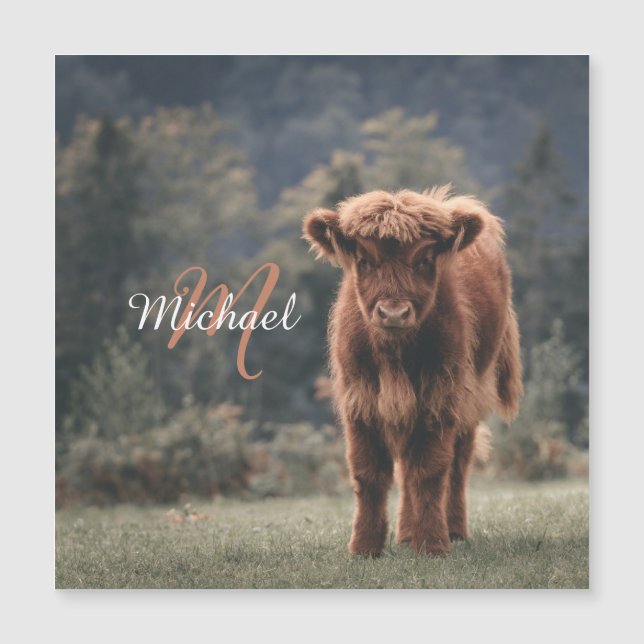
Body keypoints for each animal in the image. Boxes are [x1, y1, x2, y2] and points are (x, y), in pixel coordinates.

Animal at [302, 186, 523, 556]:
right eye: (364, 261)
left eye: (423, 260)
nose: (393, 313)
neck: (395, 356)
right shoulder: (359, 399)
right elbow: (369, 472)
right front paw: (364, 547)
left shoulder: (440, 396)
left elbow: (430, 471)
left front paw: (433, 543)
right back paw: (406, 534)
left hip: (471, 395)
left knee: (458, 464)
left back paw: (453, 530)